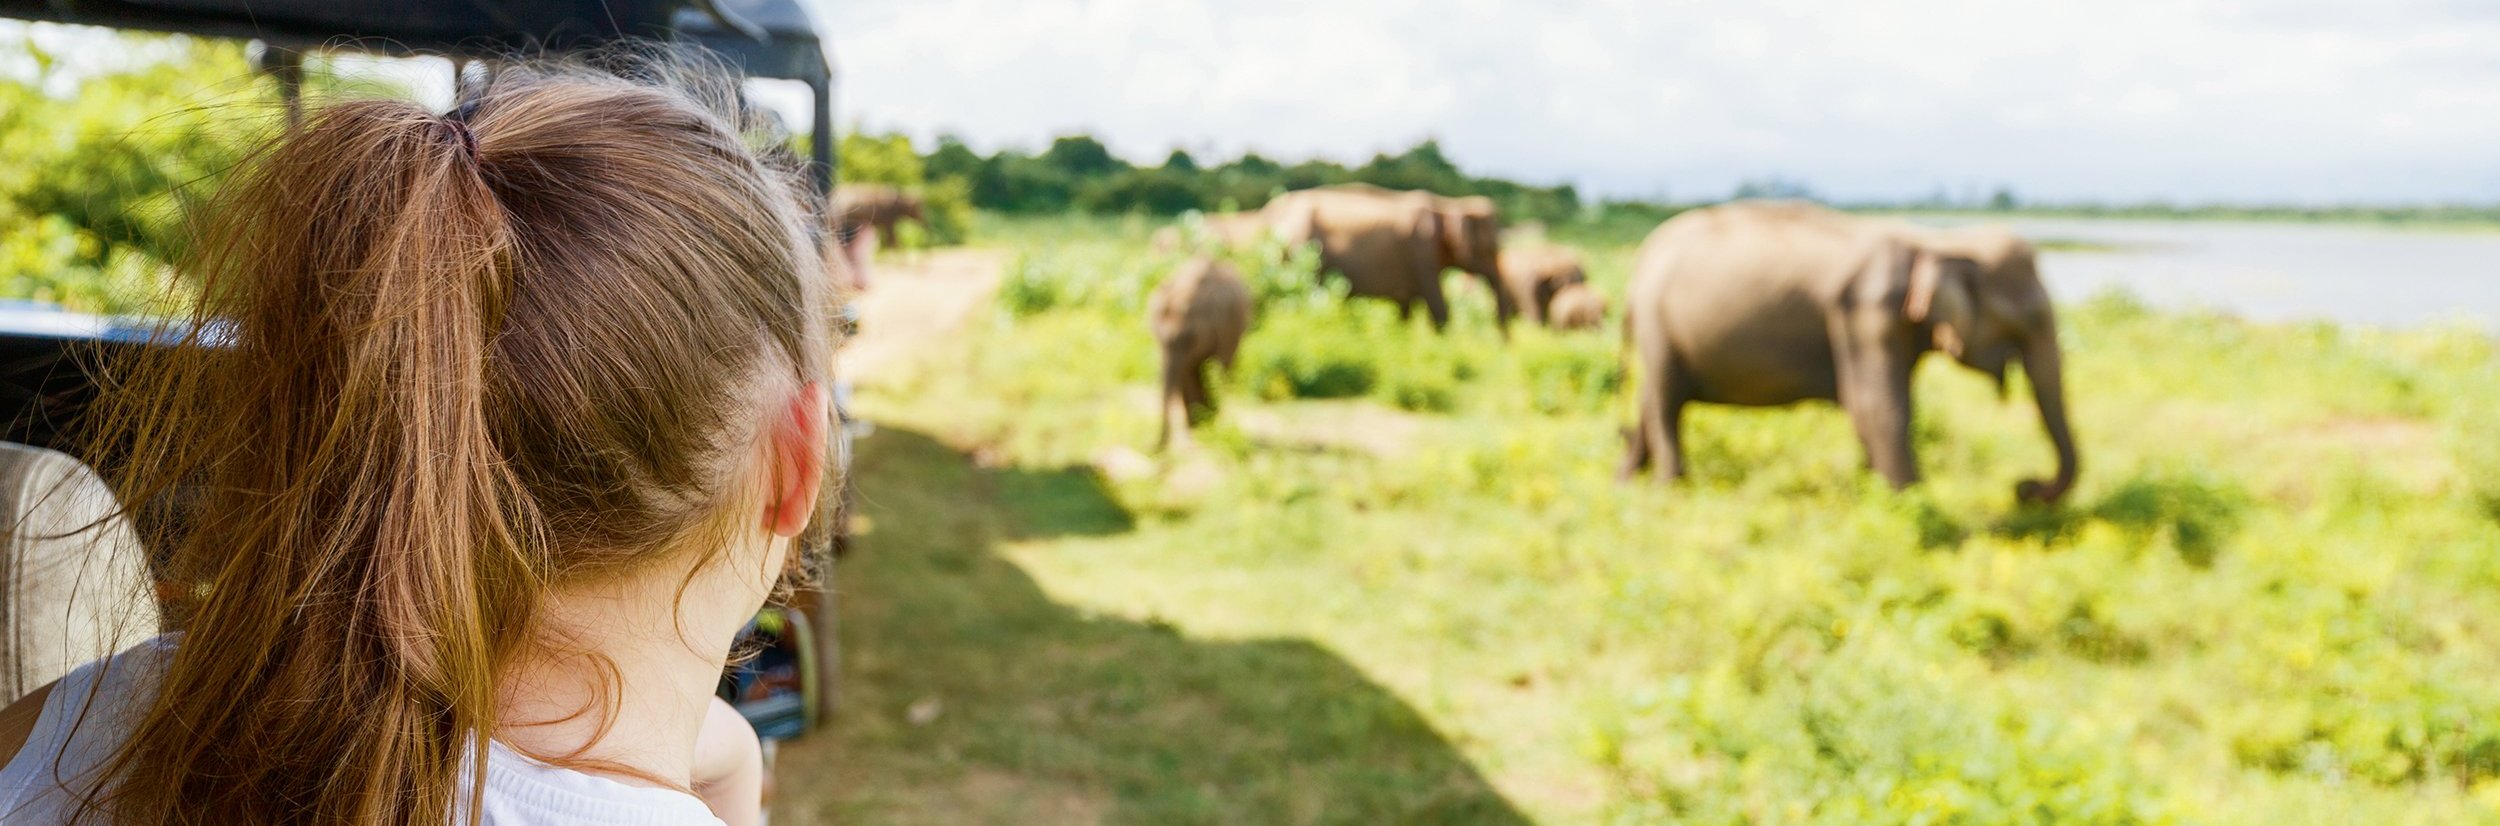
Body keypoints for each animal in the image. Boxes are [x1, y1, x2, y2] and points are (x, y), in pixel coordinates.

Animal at [1145, 257, 1250, 450]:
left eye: (1188, 339)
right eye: (1156, 336)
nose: (1151, 448)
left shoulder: (1226, 327)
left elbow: (1222, 365)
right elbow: (1187, 371)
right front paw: (1201, 424)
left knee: (1227, 367)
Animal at [1260, 185, 1510, 330]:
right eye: (1489, 249)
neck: (1449, 203)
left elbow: (1405, 307)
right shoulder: (1421, 252)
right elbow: (1436, 303)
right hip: (1302, 251)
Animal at [1610, 202, 2080, 500]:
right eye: (2033, 318)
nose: (2025, 488)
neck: (1937, 240)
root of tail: (1639, 264)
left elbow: (1872, 409)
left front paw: (1875, 494)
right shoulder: (1866, 314)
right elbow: (1877, 406)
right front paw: (1914, 509)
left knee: (1652, 398)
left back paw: (1627, 481)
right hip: (1657, 324)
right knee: (1665, 401)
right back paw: (1668, 488)